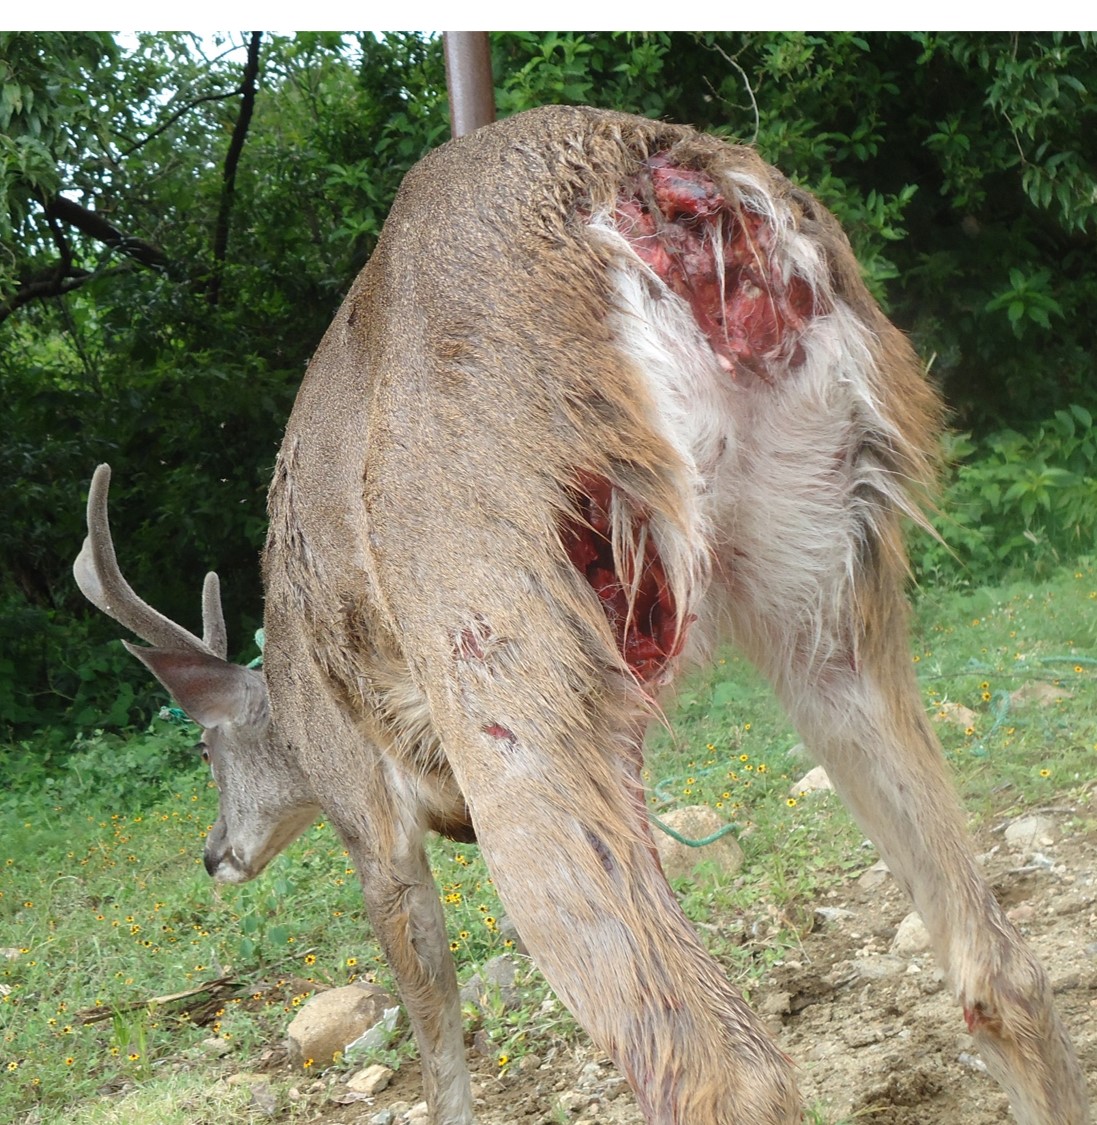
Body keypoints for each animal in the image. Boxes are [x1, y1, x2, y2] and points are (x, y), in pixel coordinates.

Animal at [74, 107, 1089, 1125]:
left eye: (209, 748)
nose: (214, 854)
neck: (287, 700)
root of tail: (656, 186)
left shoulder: (366, 810)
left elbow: (435, 1032)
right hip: (828, 568)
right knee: (1002, 969)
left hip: (502, 648)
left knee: (721, 1069)